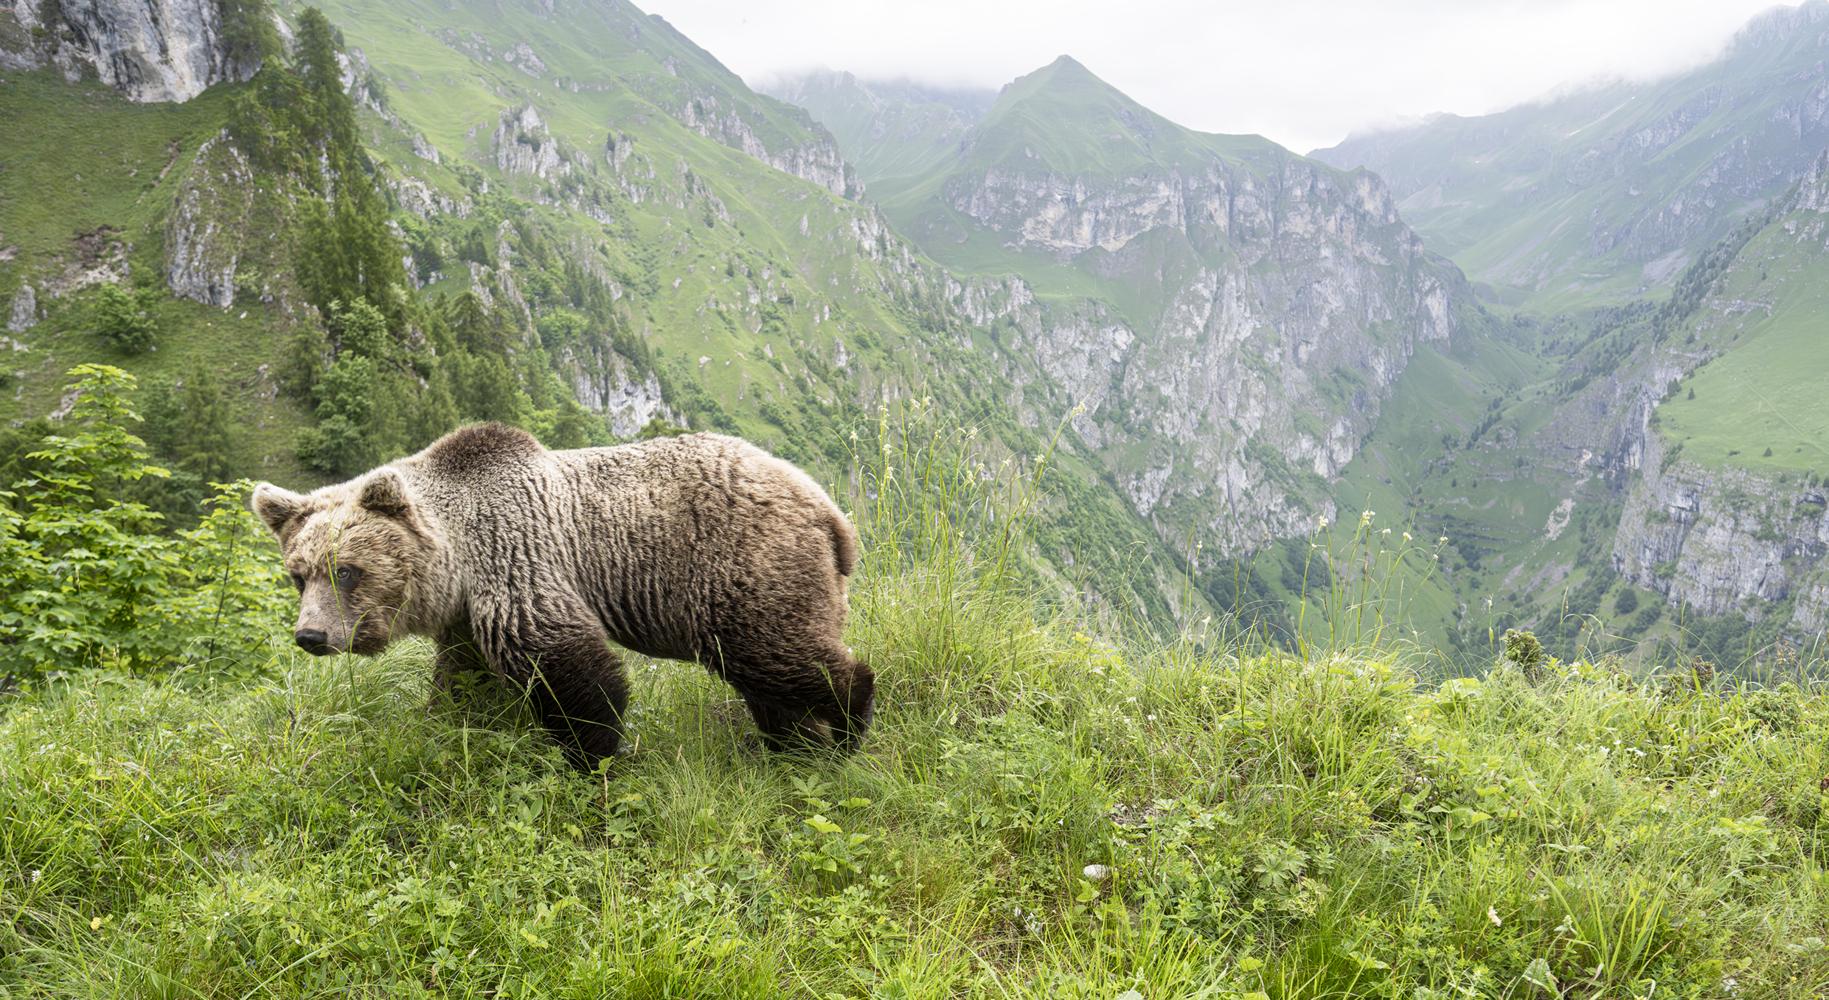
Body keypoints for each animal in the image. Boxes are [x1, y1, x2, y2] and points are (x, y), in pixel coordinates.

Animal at [250, 422, 873, 768]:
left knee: (775, 651)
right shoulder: (465, 615)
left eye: (347, 570)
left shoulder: (516, 555)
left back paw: (848, 724)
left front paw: (588, 750)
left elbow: (563, 662)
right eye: (298, 574)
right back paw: (792, 741)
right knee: (767, 673)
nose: (311, 635)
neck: (457, 560)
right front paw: (449, 723)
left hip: (740, 566)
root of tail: (827, 508)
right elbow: (465, 680)